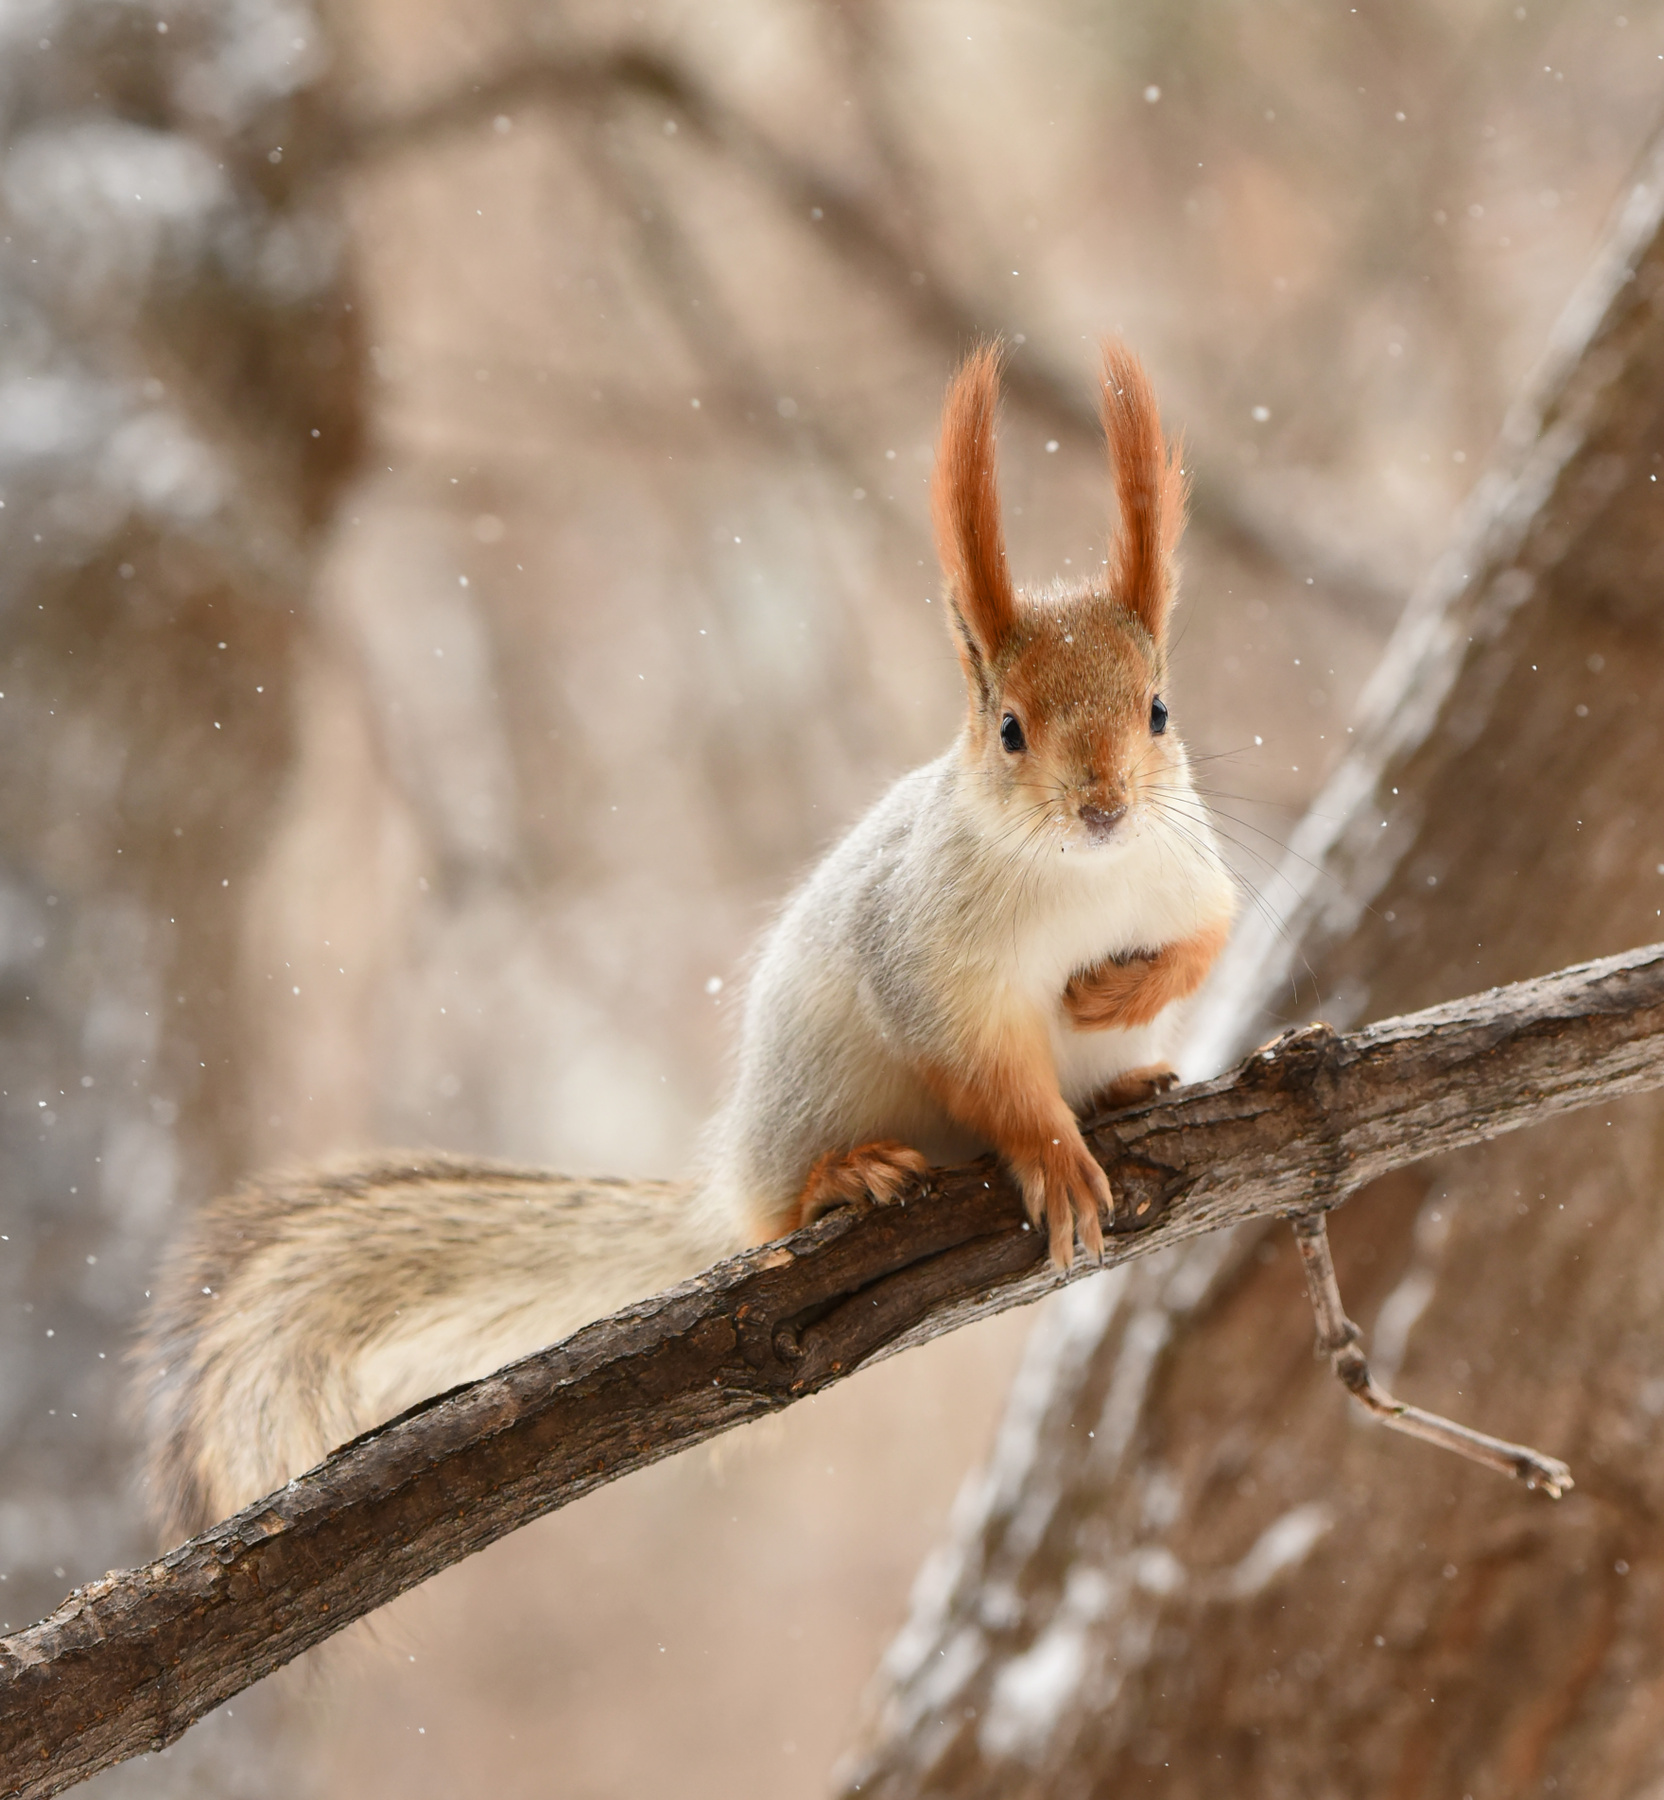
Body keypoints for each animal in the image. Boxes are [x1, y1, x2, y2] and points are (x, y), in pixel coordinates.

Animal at [136, 341, 1236, 1542]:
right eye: (1009, 731)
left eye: (1160, 711)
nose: (1104, 808)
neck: (1082, 876)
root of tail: (732, 1176)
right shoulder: (922, 955)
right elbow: (978, 1065)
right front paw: (1051, 1153)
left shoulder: (1186, 870)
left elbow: (1212, 934)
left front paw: (1118, 995)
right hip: (804, 1101)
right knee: (778, 1208)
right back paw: (846, 1176)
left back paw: (1123, 1078)